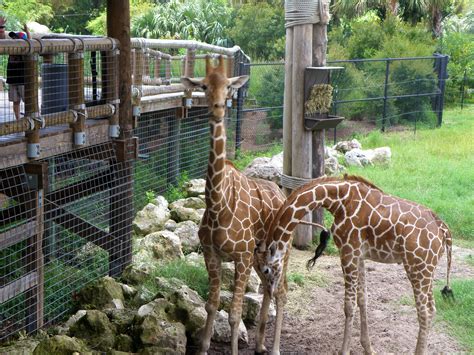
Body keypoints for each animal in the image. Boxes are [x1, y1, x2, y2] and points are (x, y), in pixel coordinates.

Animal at [181, 57, 288, 354]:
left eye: (229, 86)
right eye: (204, 86)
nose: (218, 108)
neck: (218, 205)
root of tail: (282, 195)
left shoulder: (240, 256)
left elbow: (235, 314)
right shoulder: (212, 253)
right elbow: (211, 305)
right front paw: (204, 347)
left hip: (279, 253)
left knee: (282, 292)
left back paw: (275, 348)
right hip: (260, 255)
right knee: (268, 288)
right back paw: (260, 345)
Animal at [258, 176, 454, 355]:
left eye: (266, 270)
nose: (272, 292)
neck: (337, 200)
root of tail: (443, 229)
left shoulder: (348, 251)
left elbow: (348, 305)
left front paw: (344, 351)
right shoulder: (359, 255)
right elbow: (362, 299)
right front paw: (368, 348)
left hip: (417, 268)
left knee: (424, 312)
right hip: (427, 270)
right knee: (432, 309)